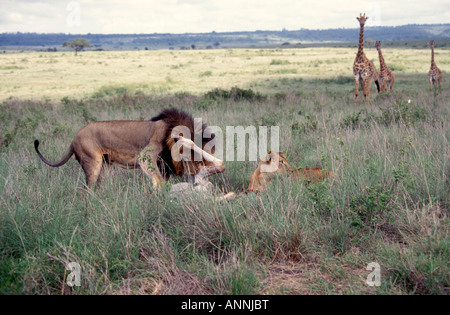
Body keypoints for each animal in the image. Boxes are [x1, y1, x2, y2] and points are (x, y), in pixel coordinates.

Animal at [33, 108, 225, 189]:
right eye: (200, 158)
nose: (201, 173)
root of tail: (73, 140)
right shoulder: (146, 156)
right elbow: (158, 180)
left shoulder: (164, 165)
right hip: (92, 162)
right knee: (87, 190)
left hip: (105, 166)